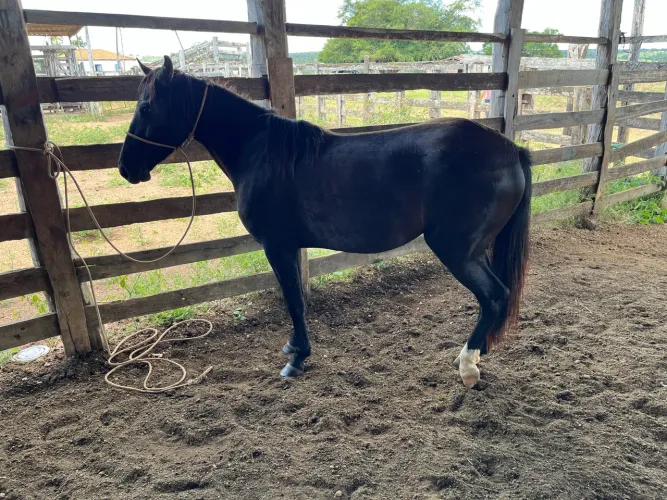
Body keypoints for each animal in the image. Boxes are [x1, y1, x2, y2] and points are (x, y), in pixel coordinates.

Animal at [118, 56, 531, 388]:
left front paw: (297, 357)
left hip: (457, 249)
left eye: (147, 107)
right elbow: (296, 300)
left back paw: (468, 366)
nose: (125, 168)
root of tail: (510, 149)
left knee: (495, 296)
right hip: (476, 250)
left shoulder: (278, 246)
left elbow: (294, 302)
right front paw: (294, 348)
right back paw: (481, 351)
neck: (261, 152)